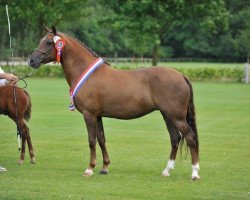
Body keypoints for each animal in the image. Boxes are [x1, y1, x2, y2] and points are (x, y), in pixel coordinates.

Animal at [28, 25, 200, 180]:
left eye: (49, 42)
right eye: (41, 40)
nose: (31, 61)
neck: (87, 73)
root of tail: (181, 75)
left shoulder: (89, 115)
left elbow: (92, 140)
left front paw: (90, 168)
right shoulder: (97, 116)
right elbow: (101, 139)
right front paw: (104, 167)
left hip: (176, 117)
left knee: (190, 138)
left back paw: (195, 173)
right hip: (167, 115)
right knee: (175, 139)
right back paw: (167, 171)